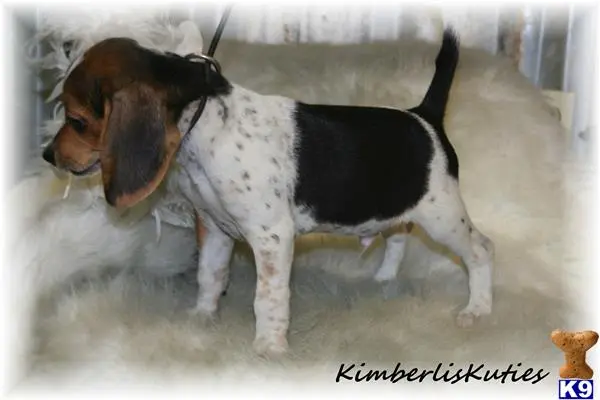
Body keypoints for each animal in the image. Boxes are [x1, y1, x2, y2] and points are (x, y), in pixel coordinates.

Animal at [42, 28, 494, 356]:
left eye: (78, 121)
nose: (47, 155)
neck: (207, 122)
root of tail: (424, 117)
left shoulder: (272, 236)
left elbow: (269, 298)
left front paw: (268, 348)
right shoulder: (213, 228)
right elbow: (210, 276)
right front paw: (201, 318)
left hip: (443, 217)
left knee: (480, 251)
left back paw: (478, 310)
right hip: (399, 205)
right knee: (399, 234)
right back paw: (384, 279)